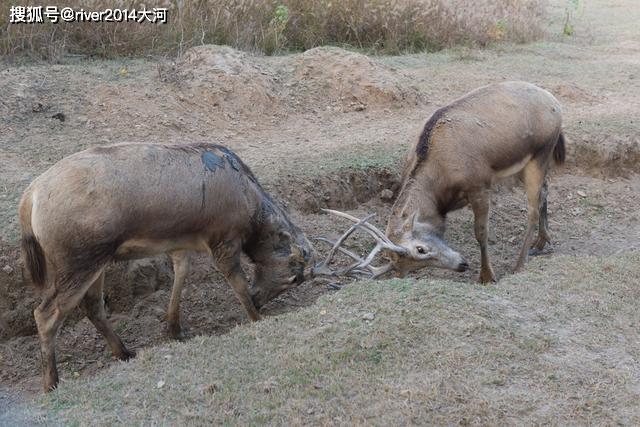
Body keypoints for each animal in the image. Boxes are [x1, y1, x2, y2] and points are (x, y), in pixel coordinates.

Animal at [19, 142, 314, 392]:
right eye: (294, 277)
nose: (260, 299)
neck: (252, 211)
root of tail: (29, 198)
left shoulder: (180, 242)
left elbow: (181, 274)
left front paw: (174, 328)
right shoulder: (224, 240)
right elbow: (237, 282)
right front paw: (255, 317)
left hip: (96, 259)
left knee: (92, 306)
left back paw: (124, 352)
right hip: (79, 258)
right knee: (45, 313)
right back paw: (51, 382)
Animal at [314, 81, 565, 283]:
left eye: (420, 249)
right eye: (413, 266)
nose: (462, 264)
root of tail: (555, 103)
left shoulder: (480, 185)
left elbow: (481, 232)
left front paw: (487, 276)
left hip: (540, 154)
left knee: (532, 207)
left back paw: (519, 264)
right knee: (545, 191)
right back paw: (542, 242)